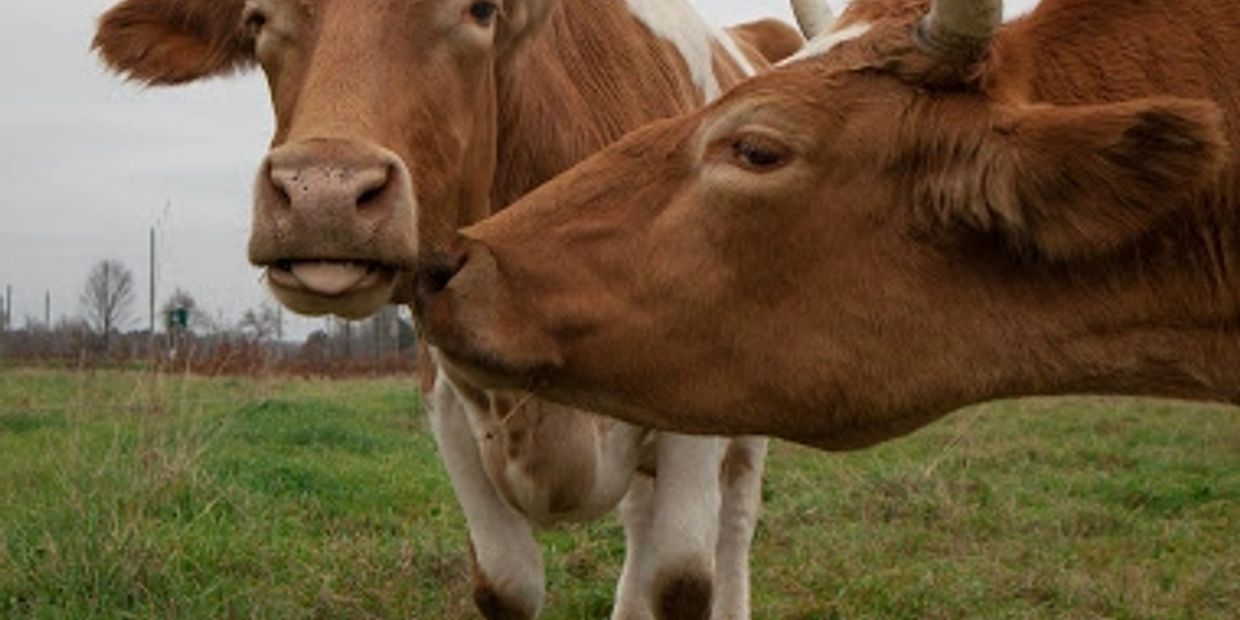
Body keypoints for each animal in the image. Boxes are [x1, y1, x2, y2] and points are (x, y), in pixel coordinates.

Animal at [93, 0, 807, 618]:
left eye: (482, 9)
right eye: (258, 18)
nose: (323, 193)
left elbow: (680, 579)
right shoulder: (448, 402)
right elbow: (505, 584)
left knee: (734, 520)